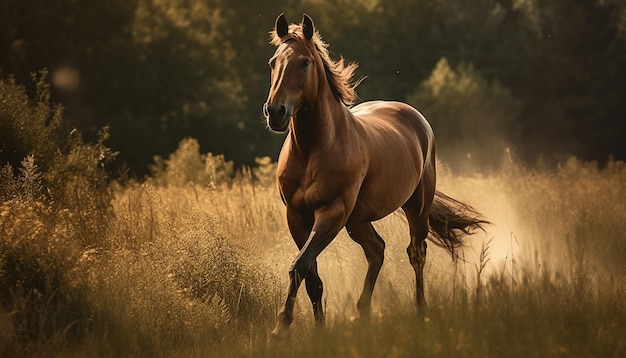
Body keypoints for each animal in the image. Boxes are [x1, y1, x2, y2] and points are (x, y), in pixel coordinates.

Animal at [260, 13, 486, 338]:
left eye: (304, 62)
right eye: (273, 62)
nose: (276, 112)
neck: (313, 148)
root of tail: (415, 118)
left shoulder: (331, 212)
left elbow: (299, 265)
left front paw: (281, 327)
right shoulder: (296, 216)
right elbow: (311, 275)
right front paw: (318, 331)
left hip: (415, 207)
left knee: (416, 253)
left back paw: (421, 313)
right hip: (358, 220)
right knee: (376, 250)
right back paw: (361, 314)